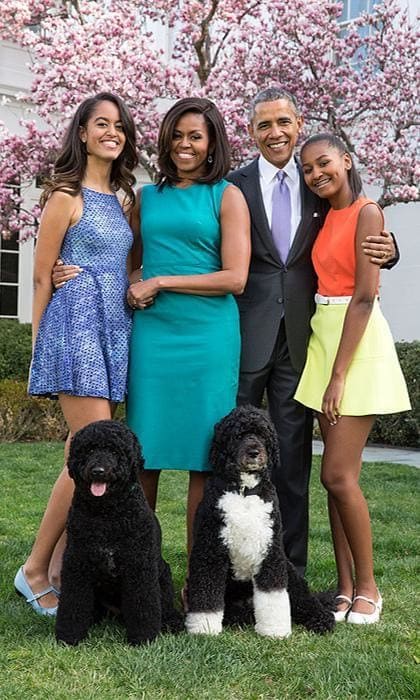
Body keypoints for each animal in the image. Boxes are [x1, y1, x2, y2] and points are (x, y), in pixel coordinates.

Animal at [55, 422, 183, 644]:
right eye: (89, 450)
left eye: (115, 451)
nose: (98, 471)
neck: (107, 514)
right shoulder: (77, 562)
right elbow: (73, 602)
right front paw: (69, 635)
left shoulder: (138, 564)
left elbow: (143, 605)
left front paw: (143, 637)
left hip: (164, 574)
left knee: (165, 606)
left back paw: (172, 622)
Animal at [186, 404, 334, 640]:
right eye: (238, 435)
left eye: (263, 435)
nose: (254, 452)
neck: (245, 491)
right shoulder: (210, 550)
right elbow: (206, 595)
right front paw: (204, 629)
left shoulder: (271, 553)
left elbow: (273, 595)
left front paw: (275, 630)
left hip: (290, 573)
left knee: (306, 601)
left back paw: (322, 619)